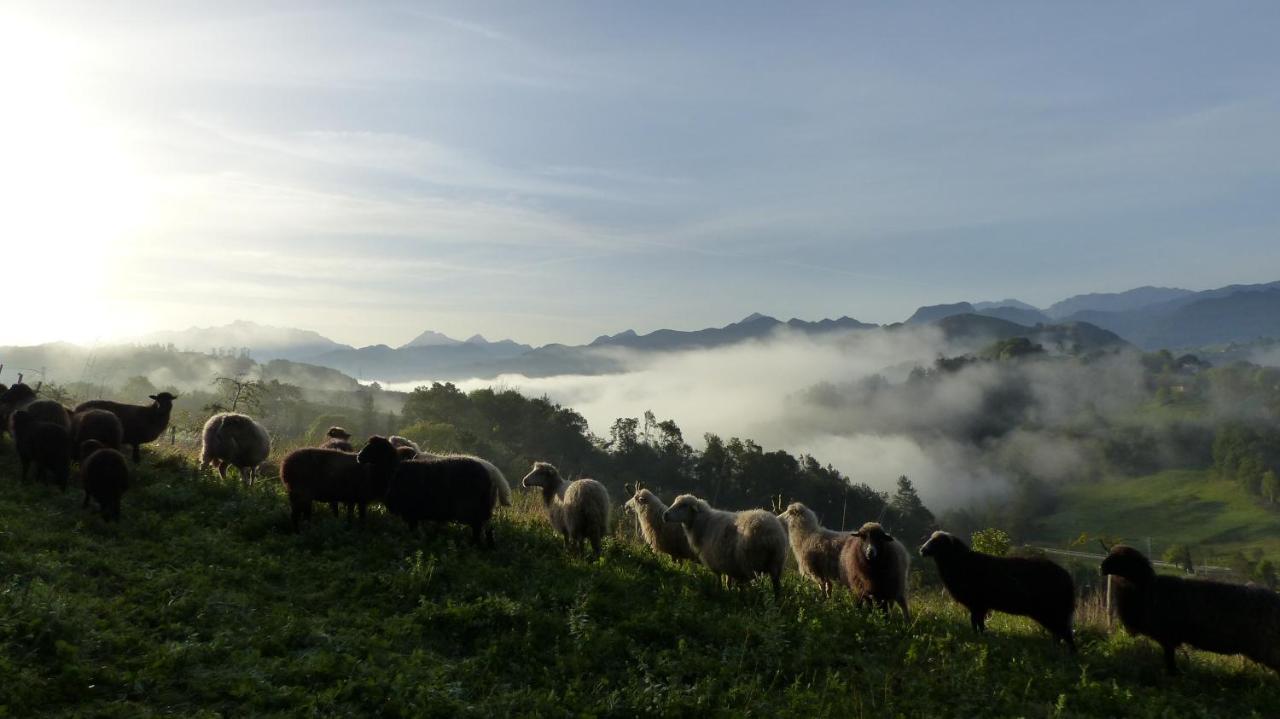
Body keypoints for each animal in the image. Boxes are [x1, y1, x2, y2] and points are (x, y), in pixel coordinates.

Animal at [360, 434, 504, 545]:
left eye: (374, 447)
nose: (359, 456)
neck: (394, 467)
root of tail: (490, 472)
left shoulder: (411, 510)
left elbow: (413, 529)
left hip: (474, 509)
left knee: (478, 527)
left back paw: (474, 544)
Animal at [660, 491, 788, 598]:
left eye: (683, 505)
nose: (665, 515)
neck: (703, 523)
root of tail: (771, 535)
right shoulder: (729, 564)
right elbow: (729, 582)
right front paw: (732, 593)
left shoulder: (716, 562)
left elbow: (719, 580)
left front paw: (720, 593)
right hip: (776, 563)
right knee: (777, 588)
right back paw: (776, 603)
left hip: (751, 564)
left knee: (757, 586)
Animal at [916, 527, 1075, 649]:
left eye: (937, 542)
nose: (922, 550)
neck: (962, 562)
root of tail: (1067, 577)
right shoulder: (979, 605)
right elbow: (977, 622)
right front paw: (980, 636)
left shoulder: (977, 604)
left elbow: (976, 622)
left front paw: (979, 637)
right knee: (1059, 632)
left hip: (1053, 610)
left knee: (1065, 632)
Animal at [1100, 542, 1280, 670]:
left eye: (1122, 558)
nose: (1101, 568)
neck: (1146, 587)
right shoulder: (1168, 637)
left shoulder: (1168, 635)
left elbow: (1170, 661)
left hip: (1268, 646)